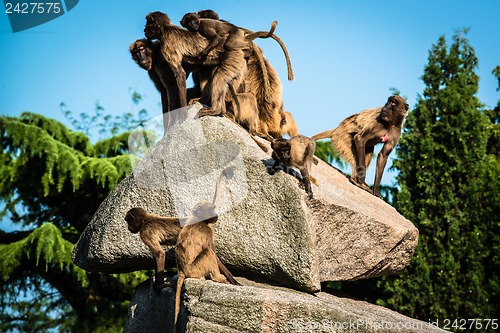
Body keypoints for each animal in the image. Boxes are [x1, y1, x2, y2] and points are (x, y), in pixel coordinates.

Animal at [174, 167, 240, 330]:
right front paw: (233, 280)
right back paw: (218, 278)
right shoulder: (208, 231)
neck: (201, 220)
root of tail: (182, 270)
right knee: (208, 253)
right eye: (210, 211)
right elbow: (213, 253)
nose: (216, 215)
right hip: (194, 269)